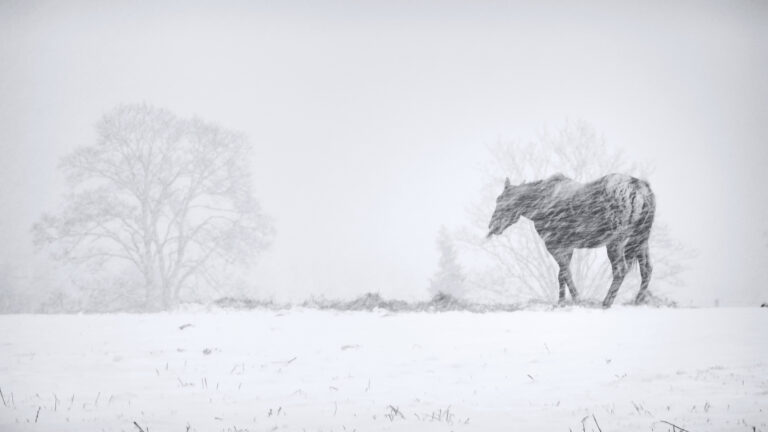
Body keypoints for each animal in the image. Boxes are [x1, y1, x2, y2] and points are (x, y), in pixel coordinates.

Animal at [488, 172, 656, 308]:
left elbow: (565, 274)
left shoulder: (554, 245)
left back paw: (606, 303)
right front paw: (562, 302)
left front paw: (575, 300)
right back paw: (638, 301)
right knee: (646, 269)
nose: (492, 226)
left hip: (616, 242)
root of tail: (641, 190)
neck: (539, 204)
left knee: (620, 269)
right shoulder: (567, 247)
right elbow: (563, 274)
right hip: (640, 240)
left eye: (501, 200)